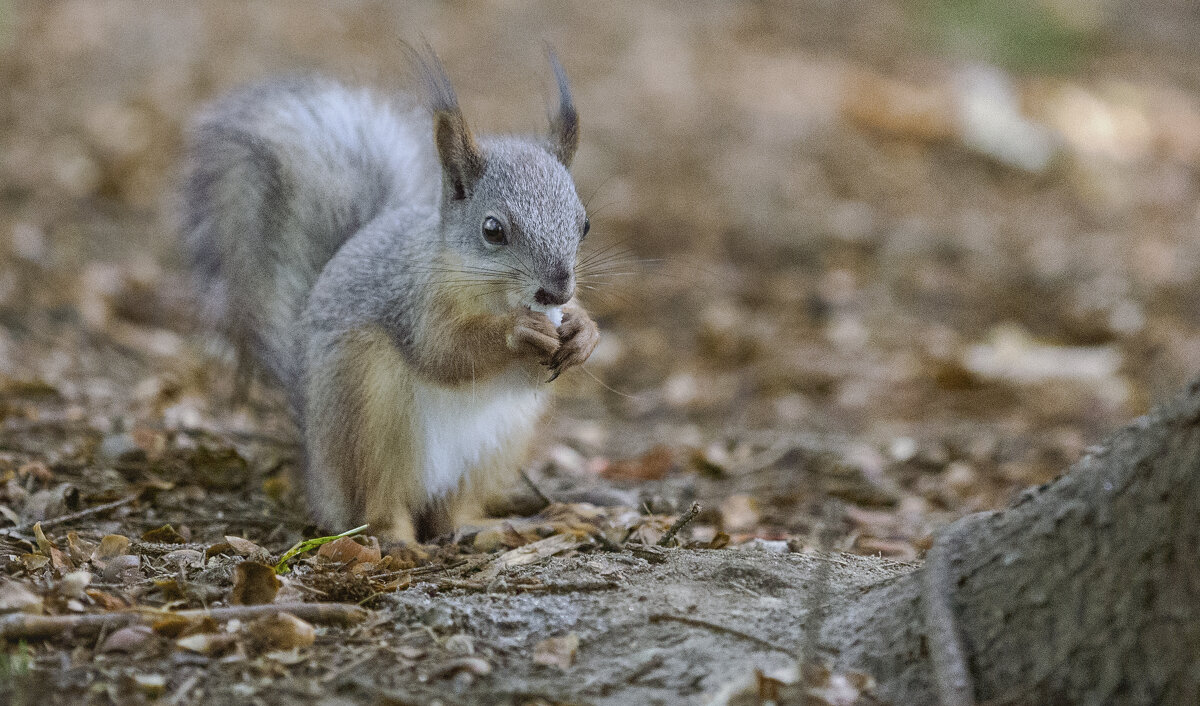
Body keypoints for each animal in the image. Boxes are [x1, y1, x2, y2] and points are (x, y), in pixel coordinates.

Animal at [180, 49, 600, 542]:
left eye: (584, 224)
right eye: (492, 230)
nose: (557, 290)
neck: (492, 294)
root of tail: (318, 472)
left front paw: (584, 333)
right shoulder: (415, 302)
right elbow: (445, 352)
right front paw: (518, 332)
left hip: (496, 444)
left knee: (452, 515)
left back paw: (510, 524)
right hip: (369, 416)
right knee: (377, 507)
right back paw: (400, 541)